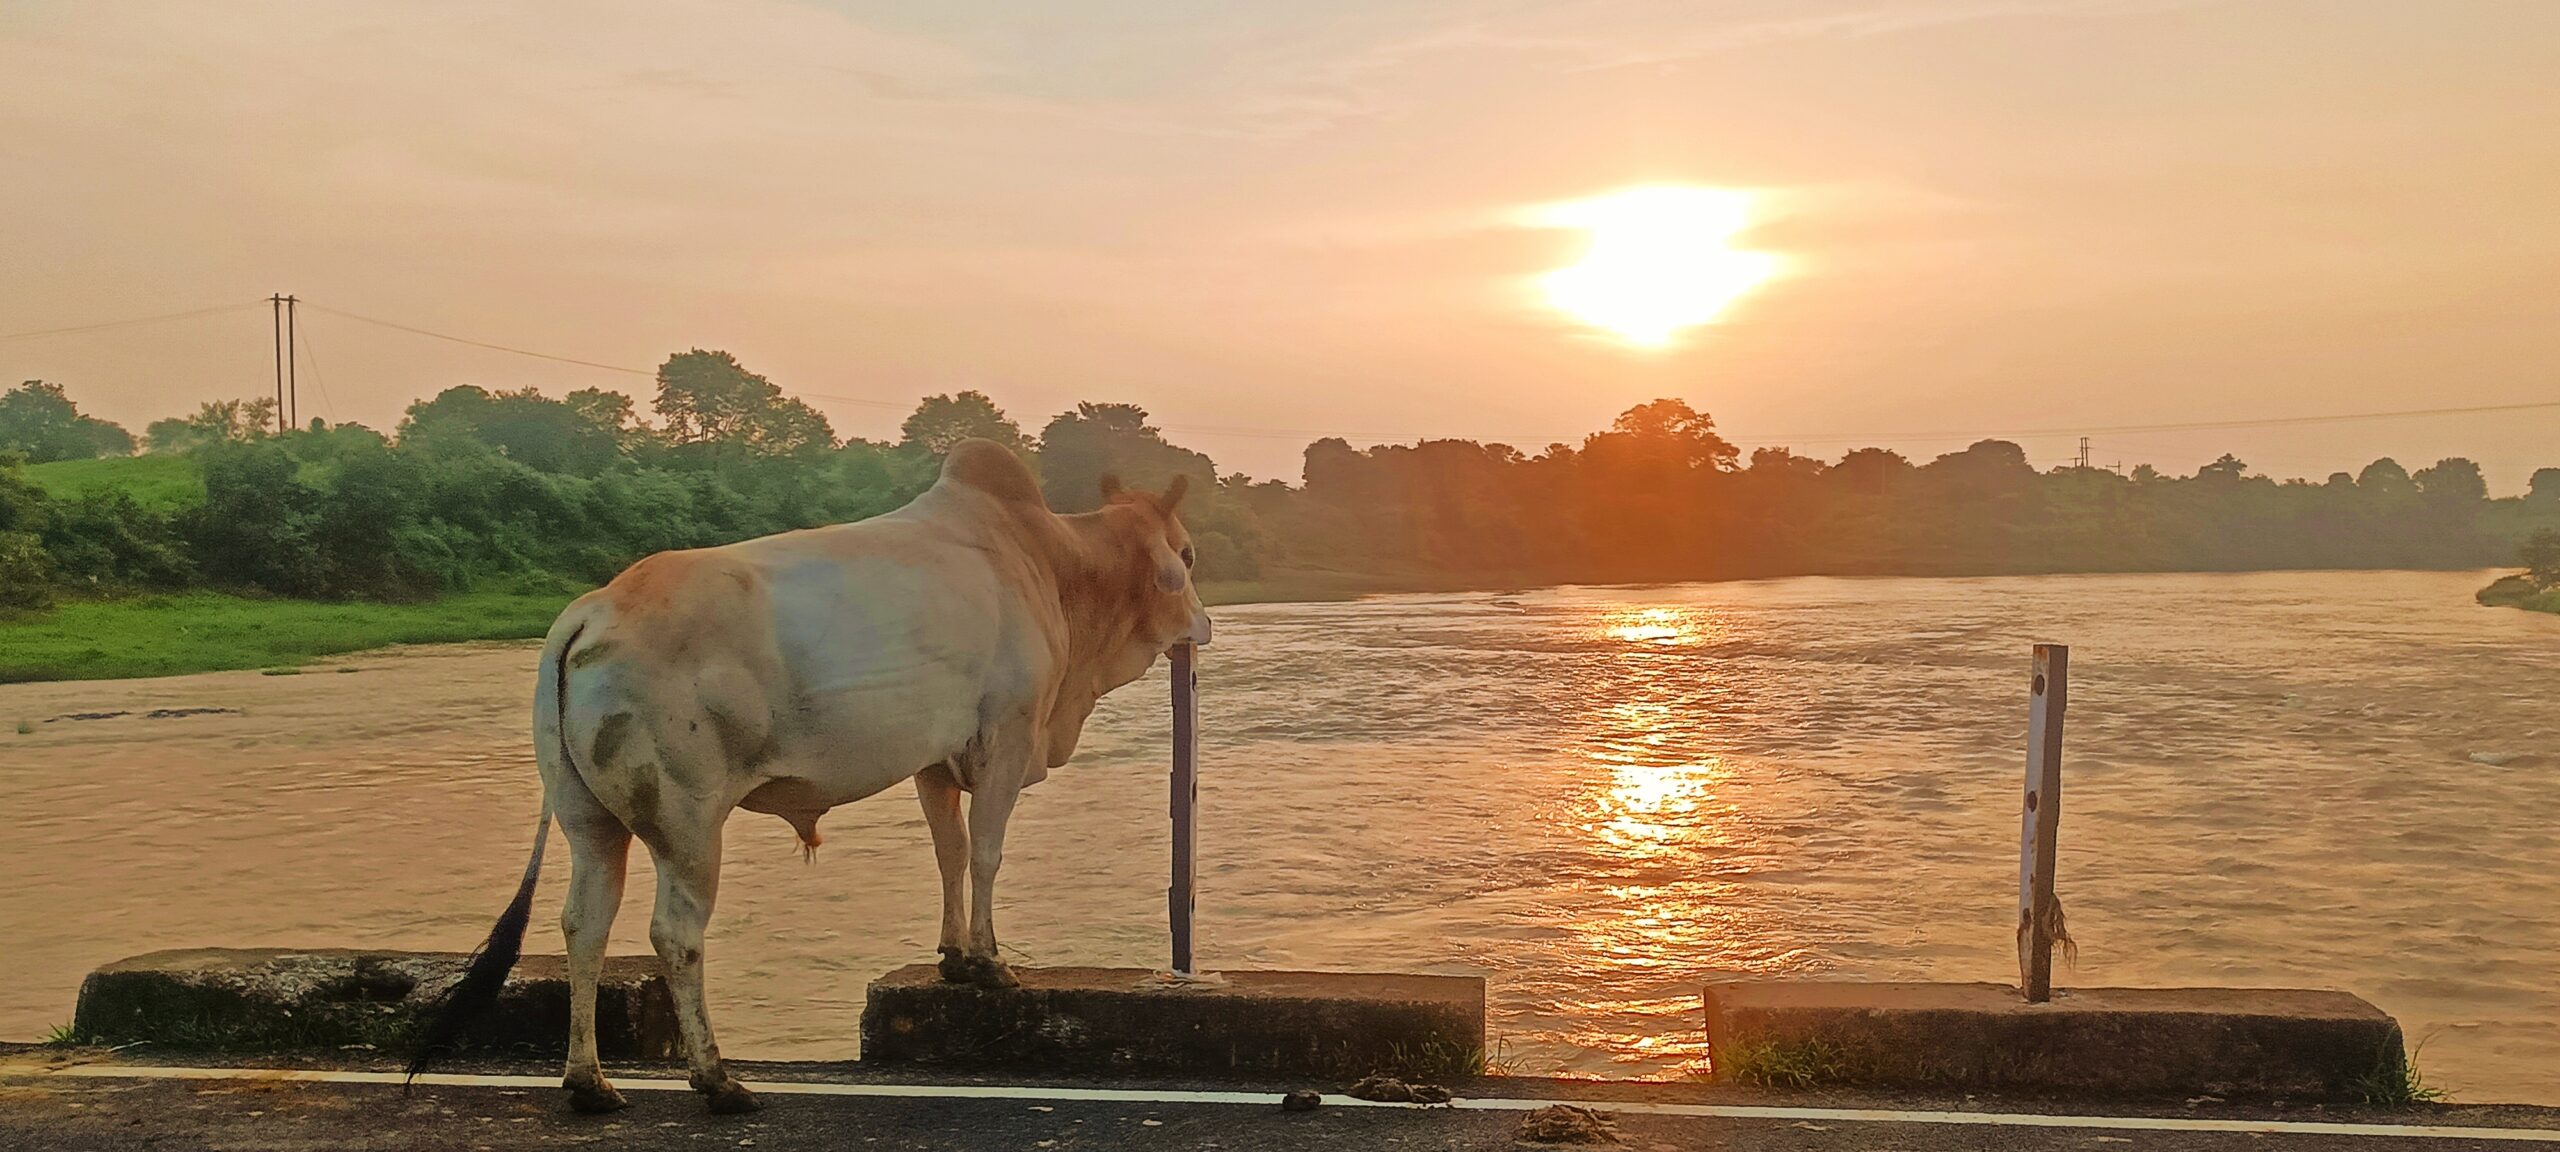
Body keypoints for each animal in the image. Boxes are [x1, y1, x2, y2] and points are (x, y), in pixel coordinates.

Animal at [407, 437, 1218, 1111]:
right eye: (1188, 554)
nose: (1206, 624)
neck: (1054, 562)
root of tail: (590, 611)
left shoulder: (933, 758)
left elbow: (949, 853)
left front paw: (954, 958)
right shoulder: (1007, 739)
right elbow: (986, 853)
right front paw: (989, 964)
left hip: (590, 822)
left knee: (585, 924)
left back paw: (591, 1085)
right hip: (686, 823)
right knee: (675, 933)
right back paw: (718, 1081)